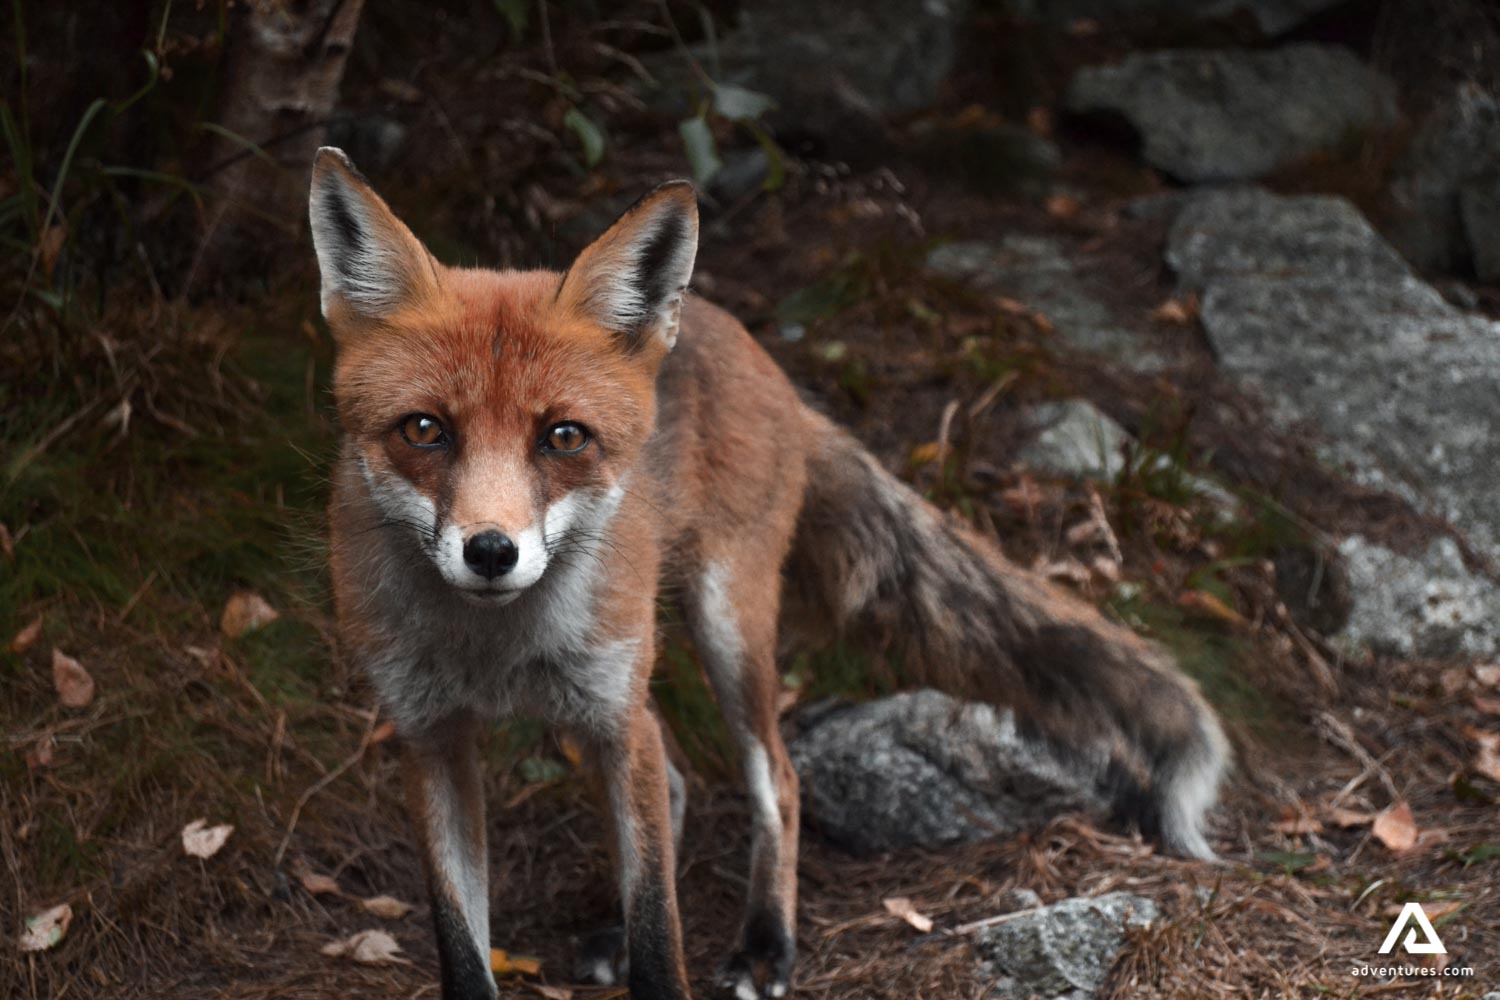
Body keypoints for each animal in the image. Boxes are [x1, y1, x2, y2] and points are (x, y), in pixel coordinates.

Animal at [309, 146, 1229, 1000]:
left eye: (563, 438)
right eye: (424, 430)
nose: (492, 552)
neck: (489, 648)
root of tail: (756, 354)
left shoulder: (613, 714)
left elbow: (662, 936)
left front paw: (672, 950)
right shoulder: (430, 739)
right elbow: (464, 948)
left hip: (719, 634)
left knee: (776, 781)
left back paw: (765, 945)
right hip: (610, 695)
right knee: (678, 782)